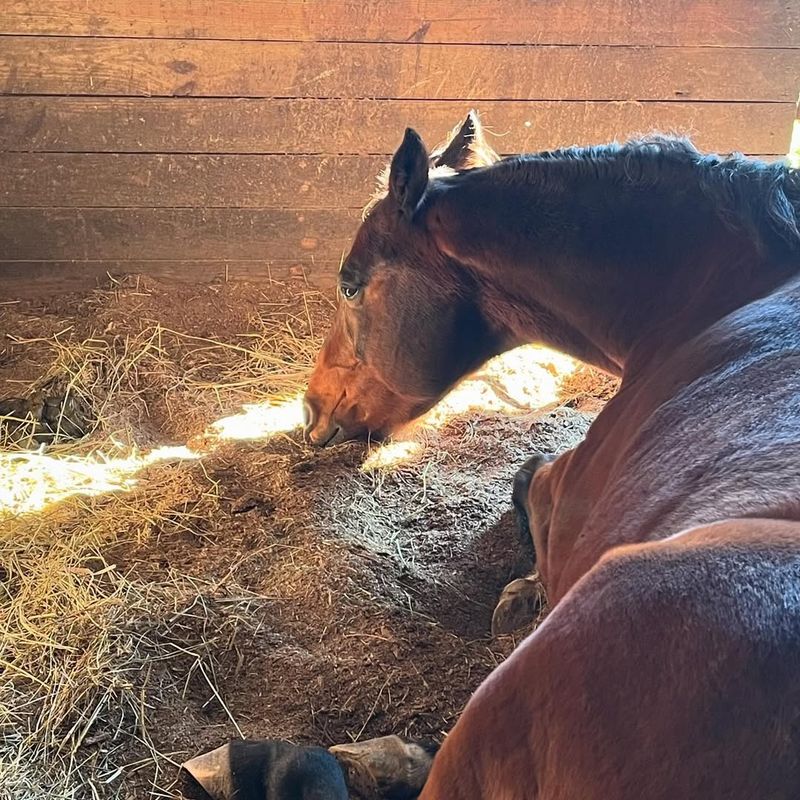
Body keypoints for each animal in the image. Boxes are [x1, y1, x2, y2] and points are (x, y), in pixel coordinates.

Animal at [304, 114, 800, 800]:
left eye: (350, 284)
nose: (311, 410)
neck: (709, 296)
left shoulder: (559, 484)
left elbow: (527, 477)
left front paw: (522, 593)